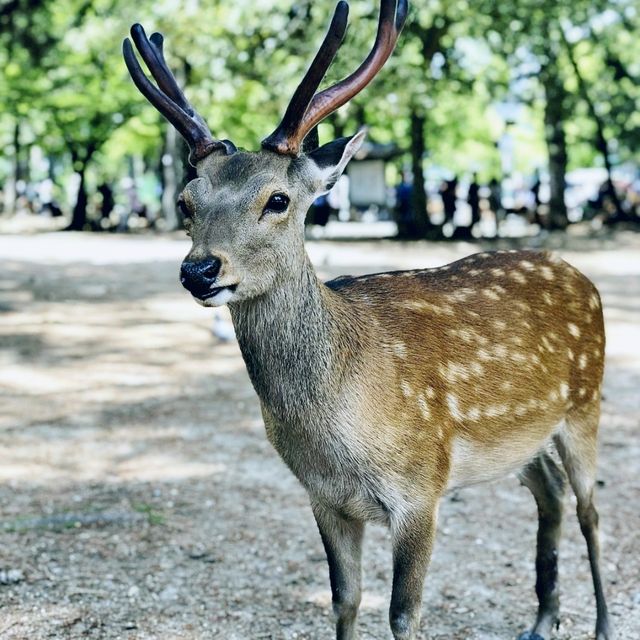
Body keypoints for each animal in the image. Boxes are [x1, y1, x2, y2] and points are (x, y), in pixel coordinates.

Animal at [125, 2, 616, 636]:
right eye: (187, 201)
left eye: (277, 199)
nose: (200, 270)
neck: (338, 431)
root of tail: (576, 271)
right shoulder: (323, 497)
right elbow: (345, 599)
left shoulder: (421, 488)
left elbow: (403, 614)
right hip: (522, 441)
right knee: (551, 494)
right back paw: (542, 619)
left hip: (585, 405)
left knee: (591, 509)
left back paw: (601, 622)